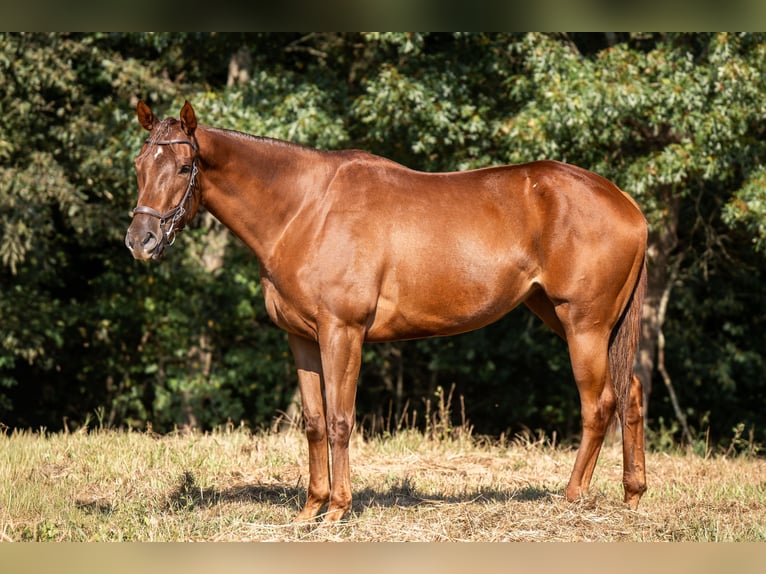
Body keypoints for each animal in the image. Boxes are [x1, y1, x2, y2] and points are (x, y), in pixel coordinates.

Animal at [125, 100, 648, 522]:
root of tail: (628, 205)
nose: (140, 241)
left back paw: (572, 497)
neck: (306, 209)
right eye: (138, 165)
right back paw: (632, 494)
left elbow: (340, 419)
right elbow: (314, 423)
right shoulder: (301, 338)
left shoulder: (342, 332)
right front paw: (309, 511)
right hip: (573, 320)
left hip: (583, 325)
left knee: (598, 404)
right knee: (631, 393)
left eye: (183, 167)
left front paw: (337, 510)